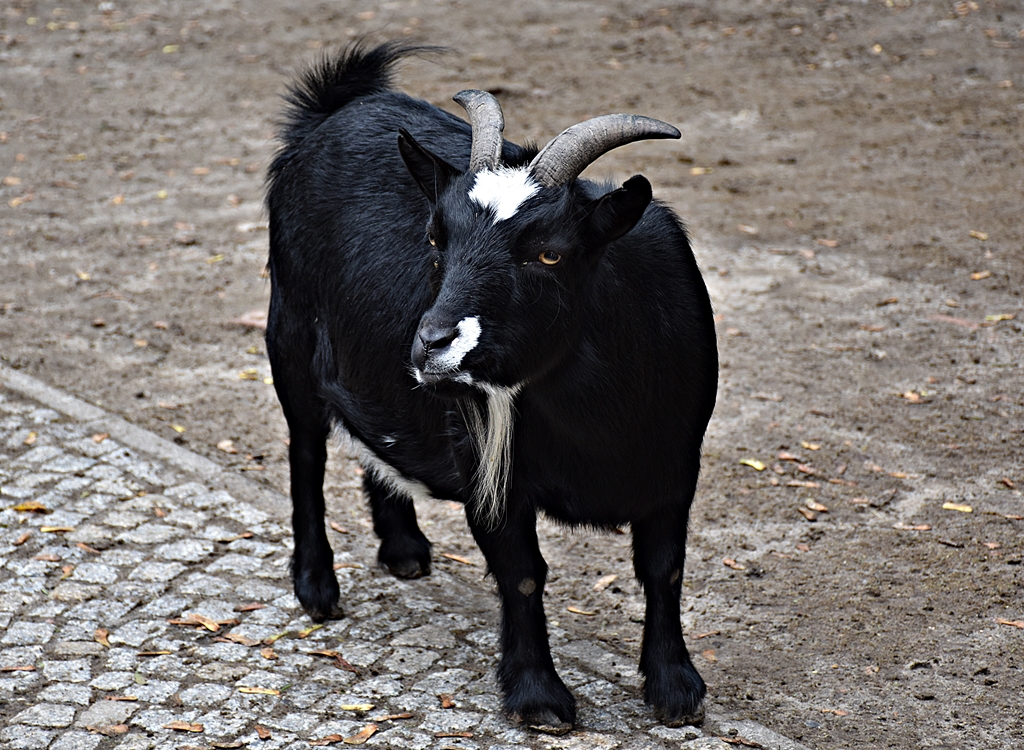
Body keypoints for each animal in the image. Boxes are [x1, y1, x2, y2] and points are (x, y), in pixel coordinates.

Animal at [265, 43, 718, 731]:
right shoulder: (490, 464)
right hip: (288, 335)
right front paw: (538, 696)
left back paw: (403, 548)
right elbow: (523, 573)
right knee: (306, 452)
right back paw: (317, 587)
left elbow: (663, 569)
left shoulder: (675, 463)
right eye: (436, 237)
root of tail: (331, 111)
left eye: (550, 253)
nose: (432, 344)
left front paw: (675, 689)